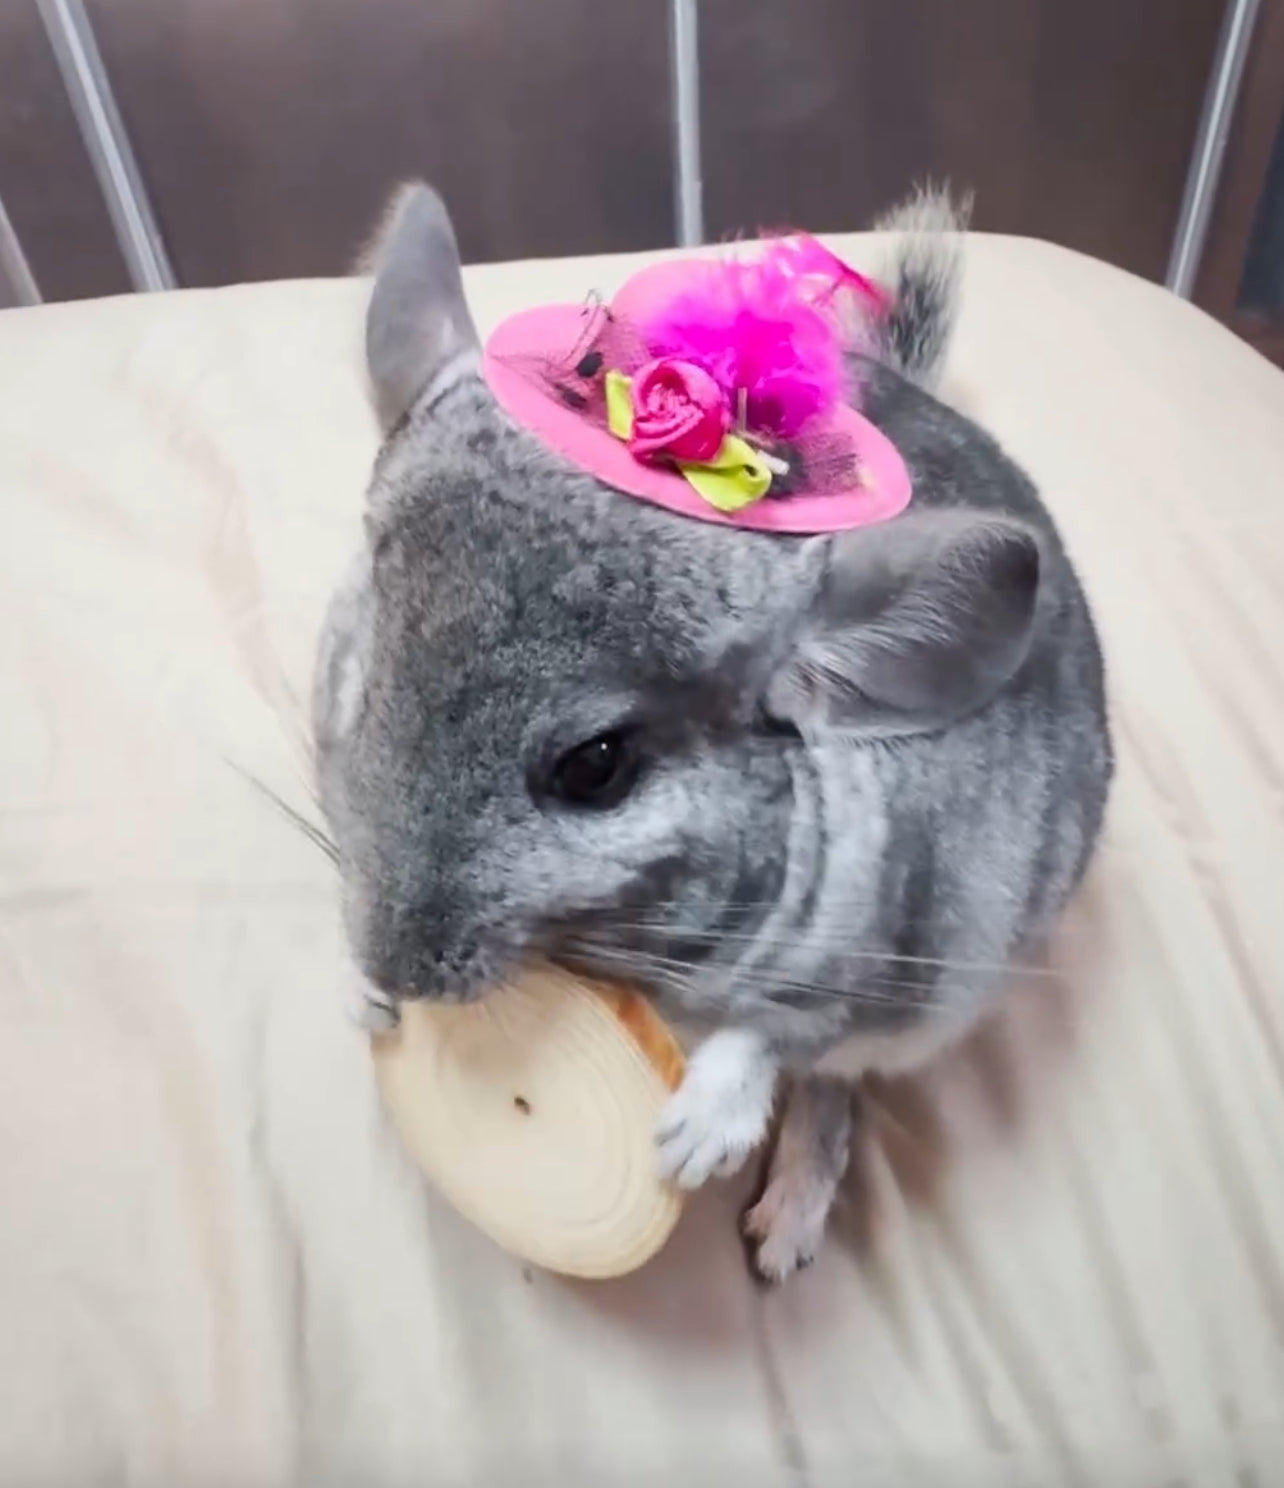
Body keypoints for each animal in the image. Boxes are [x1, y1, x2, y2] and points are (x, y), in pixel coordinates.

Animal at [312, 183, 1113, 1283]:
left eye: (597, 767)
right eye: (364, 675)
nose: (398, 968)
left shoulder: (894, 958)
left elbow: (785, 1033)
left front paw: (695, 1140)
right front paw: (365, 1002)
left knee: (837, 1086)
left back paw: (785, 1232)